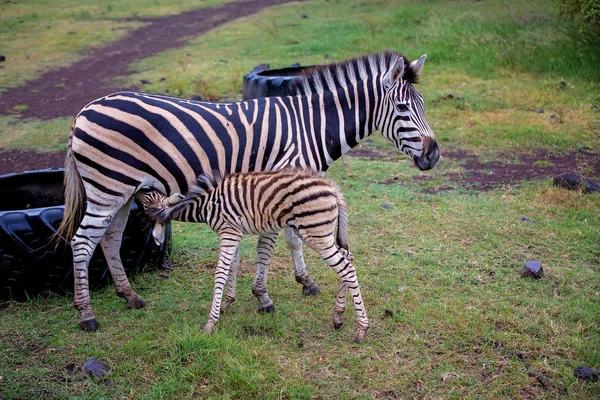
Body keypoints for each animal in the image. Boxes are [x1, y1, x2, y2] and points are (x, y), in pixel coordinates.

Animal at [136, 169, 370, 344]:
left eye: (148, 201)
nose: (138, 188)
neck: (206, 205)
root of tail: (332, 188)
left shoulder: (229, 232)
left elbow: (220, 272)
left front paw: (211, 323)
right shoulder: (234, 233)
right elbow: (233, 266)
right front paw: (227, 303)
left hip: (316, 233)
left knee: (346, 268)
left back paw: (361, 329)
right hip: (324, 234)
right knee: (349, 258)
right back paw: (338, 316)